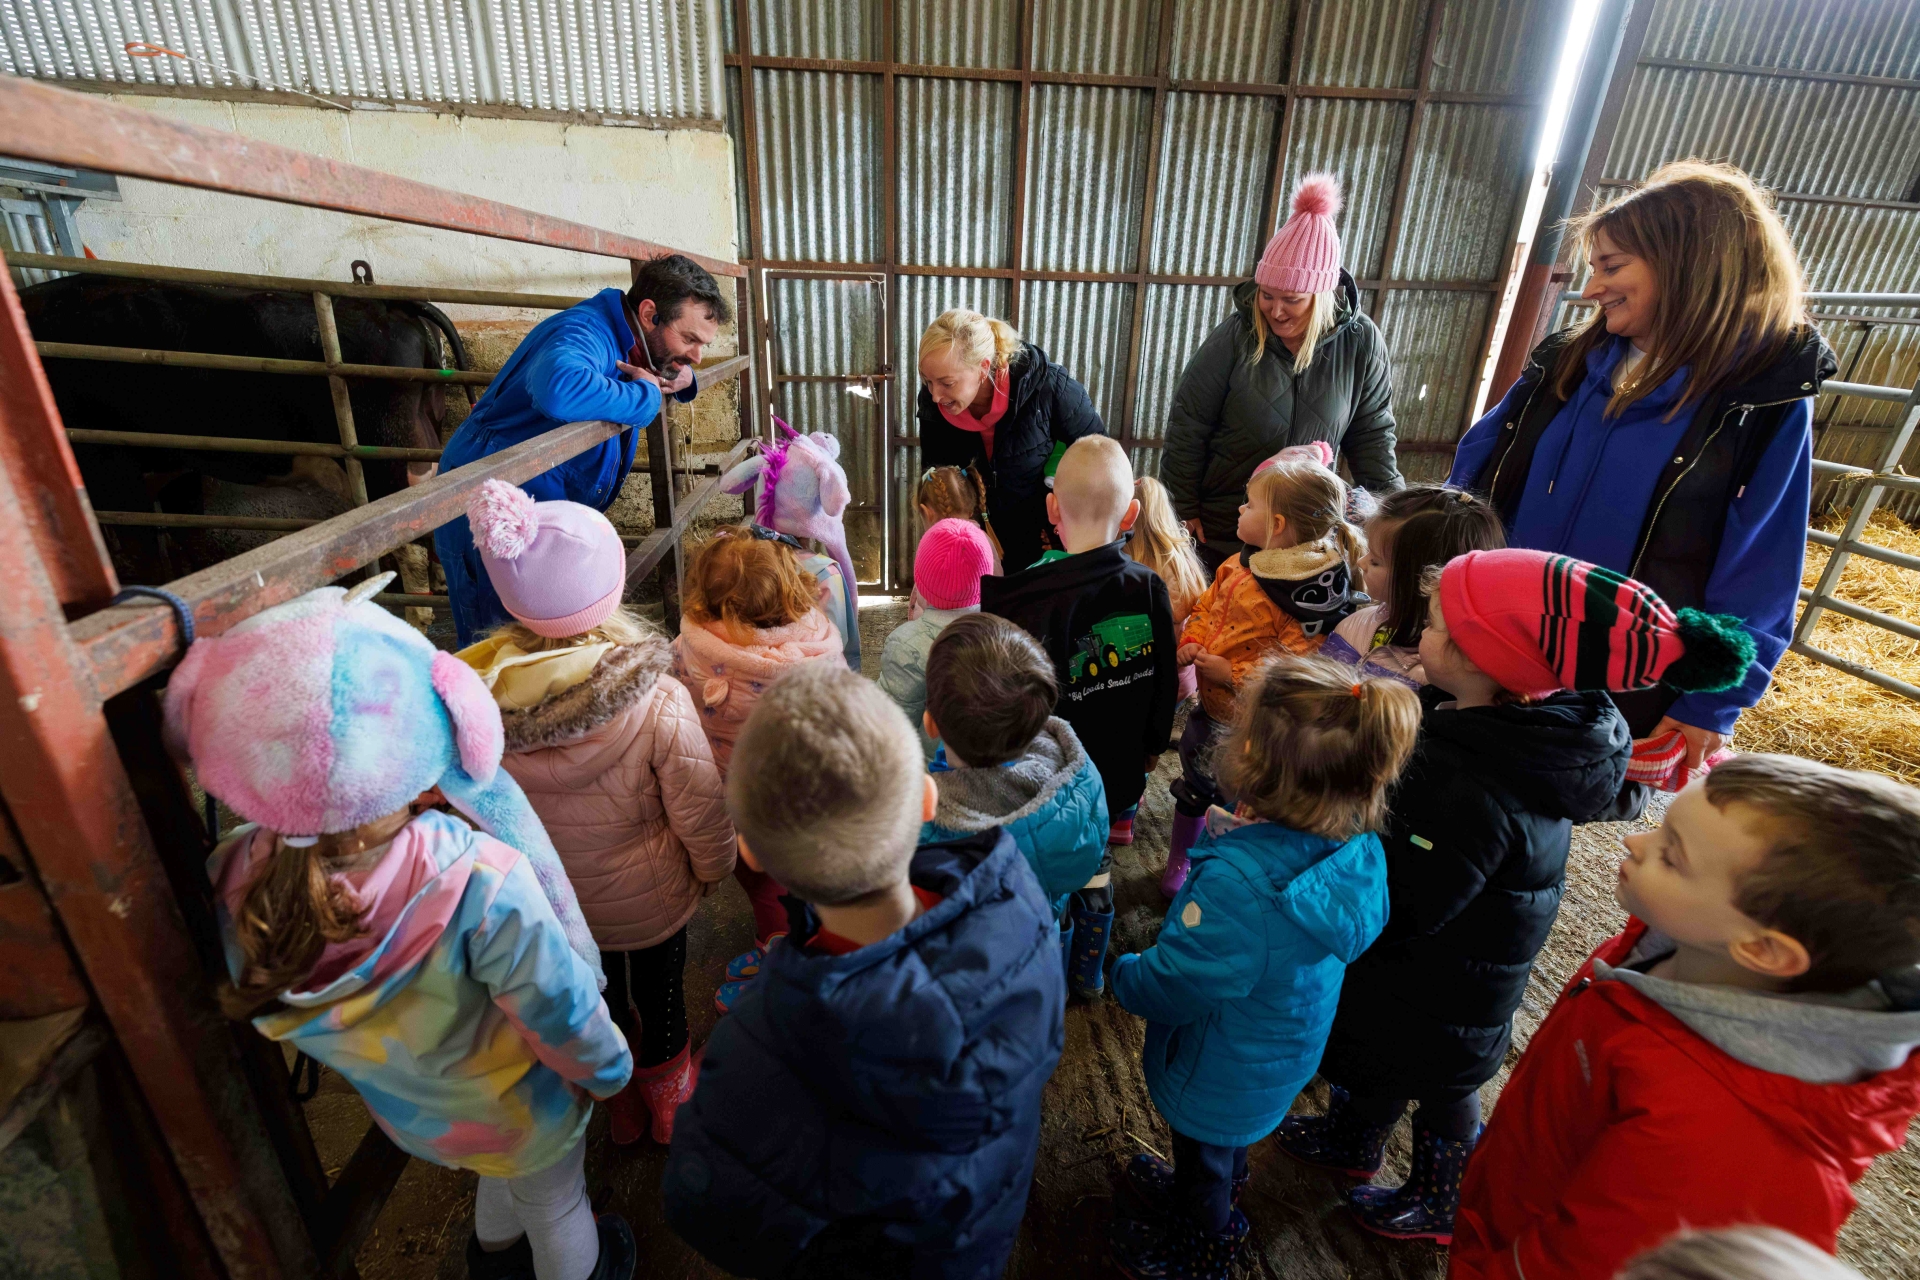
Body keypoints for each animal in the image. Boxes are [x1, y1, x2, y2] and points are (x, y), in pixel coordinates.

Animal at [25, 278, 464, 587]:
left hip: (386, 448)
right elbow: (186, 528)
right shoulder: (176, 461)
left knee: (414, 531)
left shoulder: (106, 460)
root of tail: (392, 304)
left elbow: (144, 546)